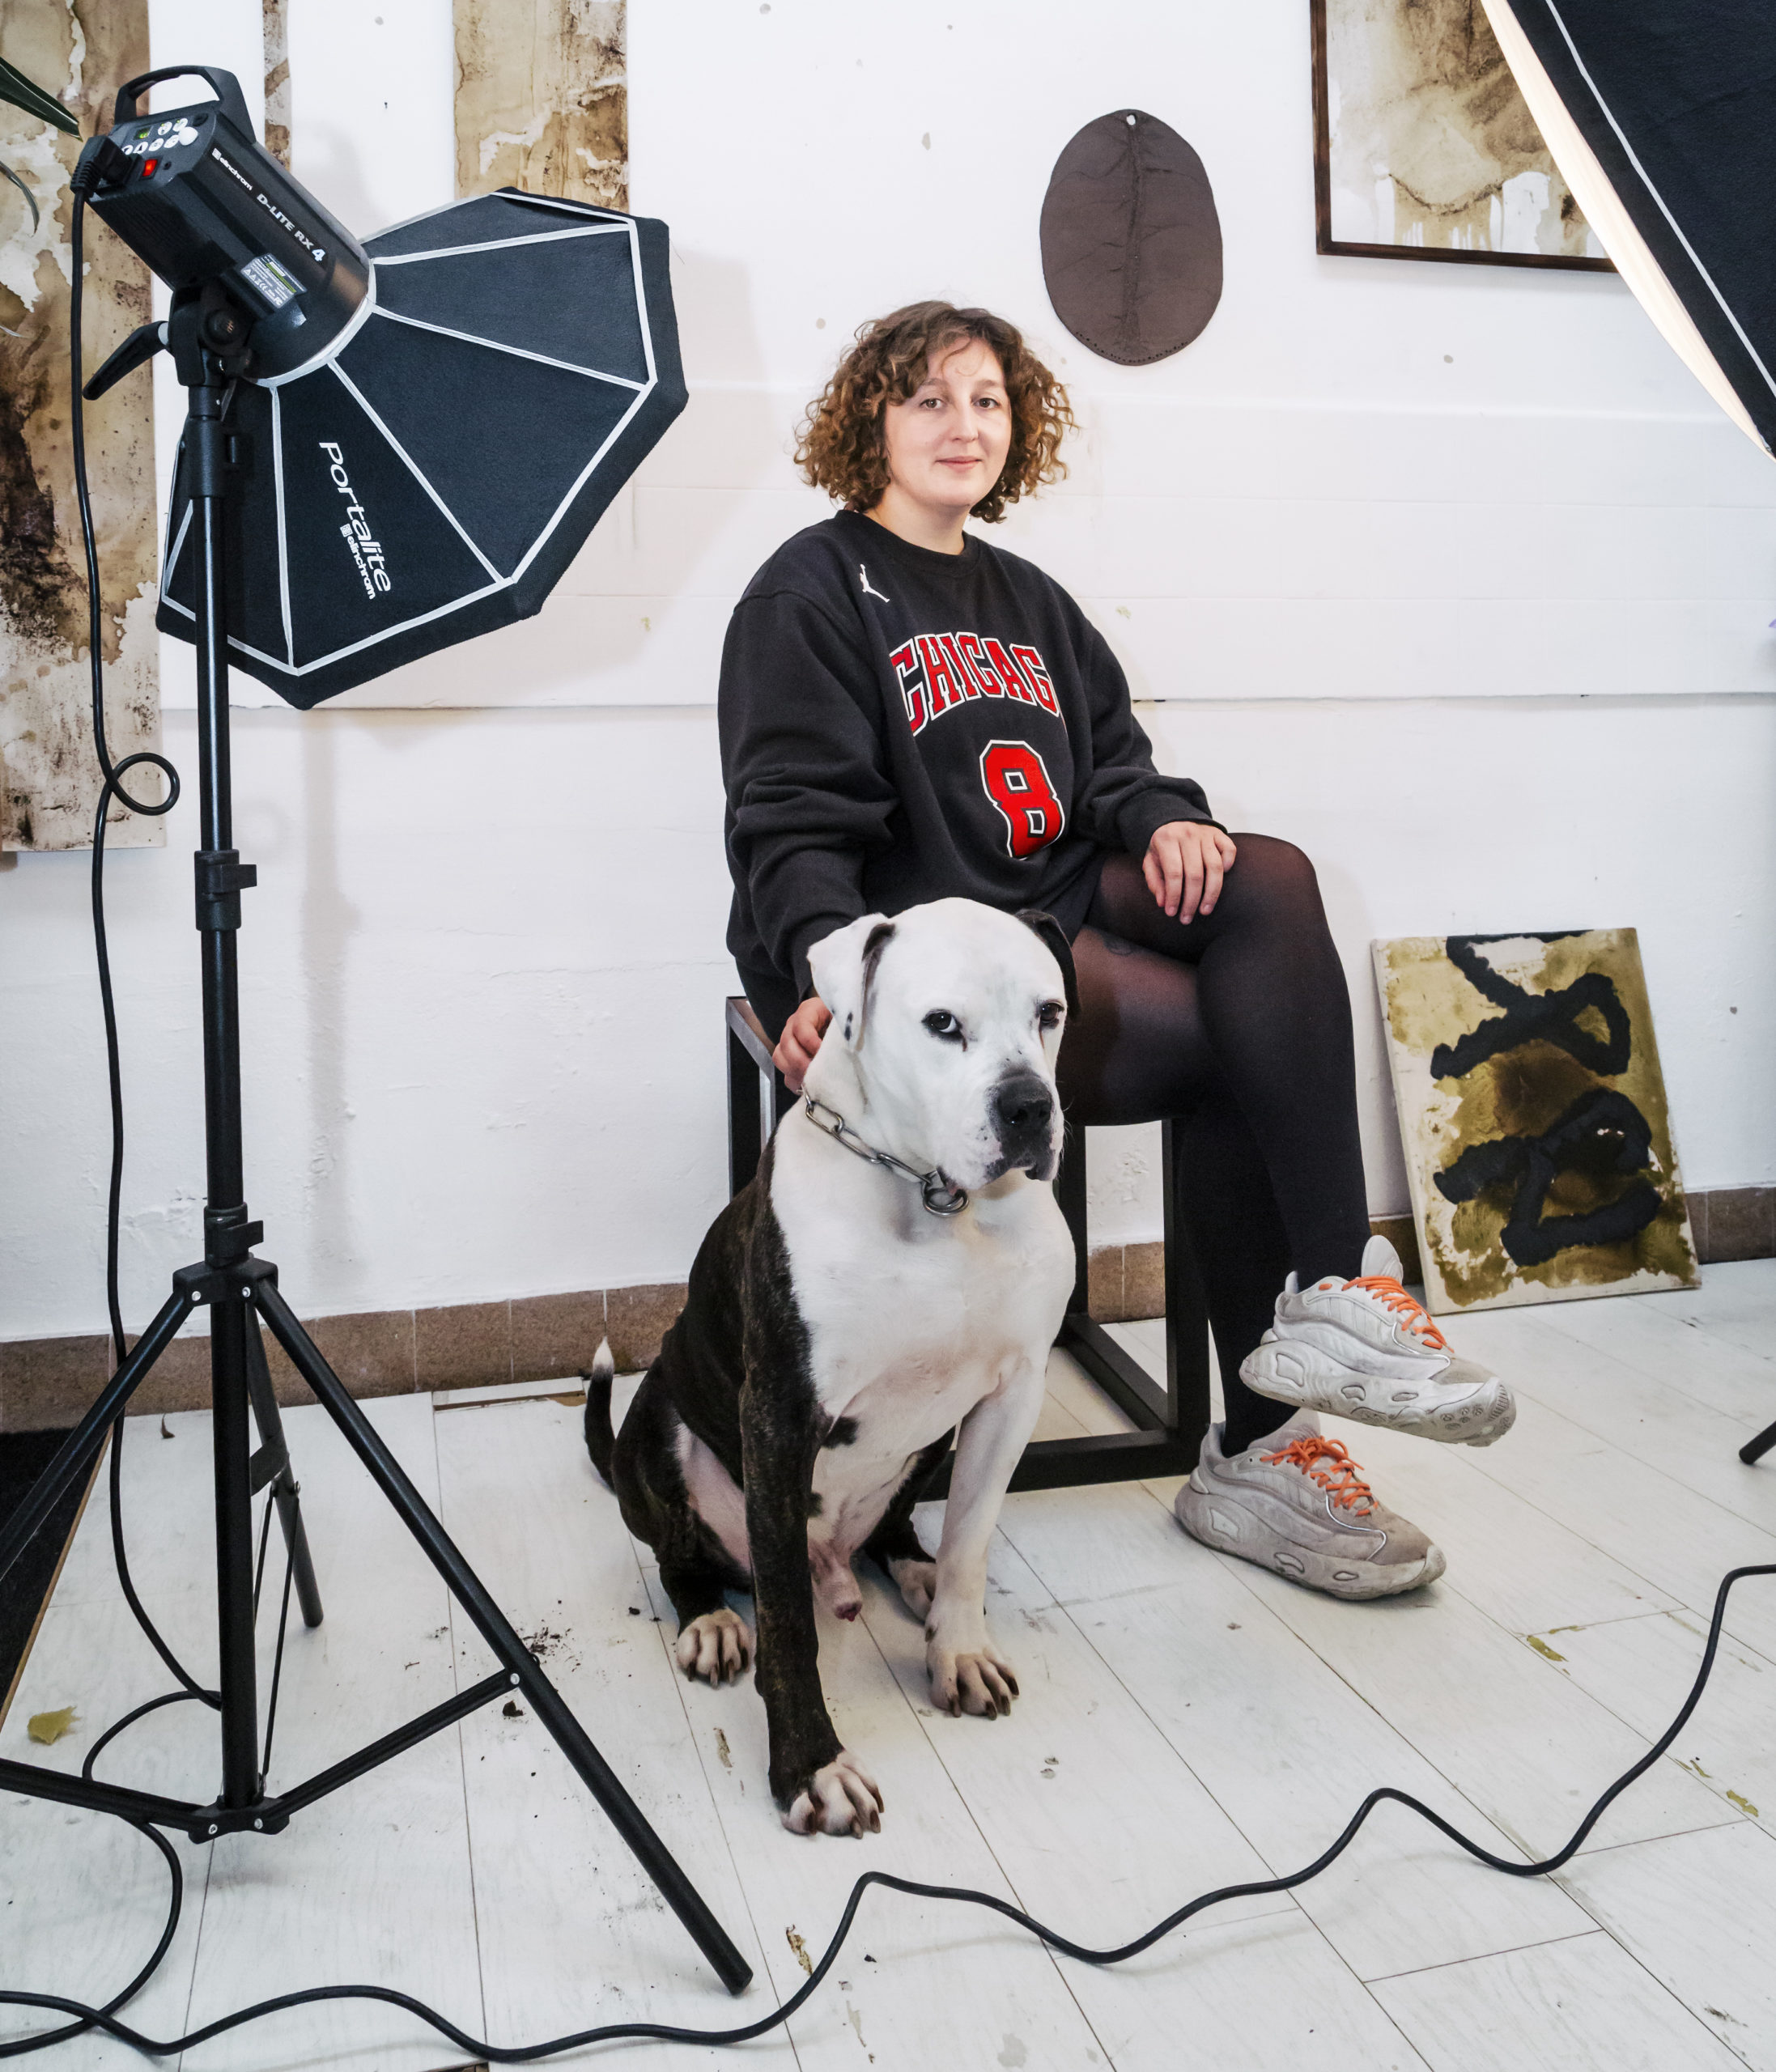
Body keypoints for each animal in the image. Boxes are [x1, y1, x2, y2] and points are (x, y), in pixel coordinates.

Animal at [588, 899, 1077, 1840]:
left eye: (1050, 1012)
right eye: (942, 1024)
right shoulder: (782, 1416)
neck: (933, 1196)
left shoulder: (1012, 1394)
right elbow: (787, 1622)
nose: (1029, 1107)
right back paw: (712, 1621)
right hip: (663, 1418)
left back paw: (913, 1571)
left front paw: (959, 1648)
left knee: (900, 1528)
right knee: (680, 1558)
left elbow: (971, 1541)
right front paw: (811, 1767)